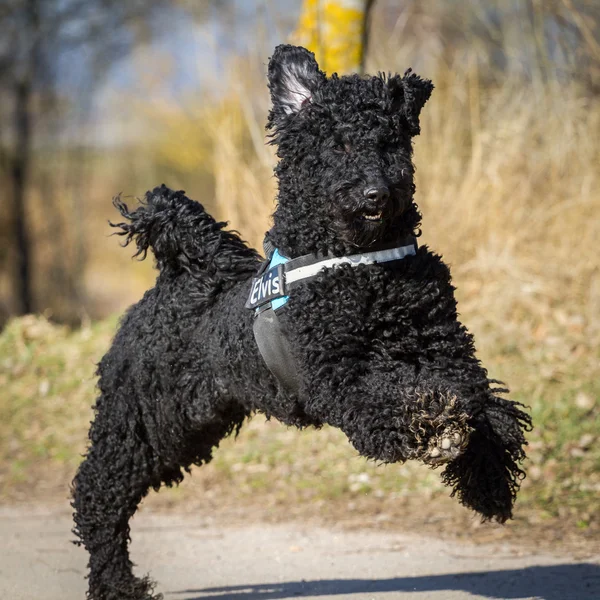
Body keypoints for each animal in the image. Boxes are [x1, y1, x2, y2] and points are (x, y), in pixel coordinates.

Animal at [71, 45, 528, 600]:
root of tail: (181, 280)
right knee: (98, 495)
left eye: (391, 142)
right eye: (338, 143)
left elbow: (489, 411)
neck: (362, 268)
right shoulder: (339, 377)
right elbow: (388, 401)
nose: (376, 194)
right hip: (143, 421)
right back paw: (117, 583)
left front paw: (488, 484)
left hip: (188, 427)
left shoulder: (448, 353)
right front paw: (431, 421)